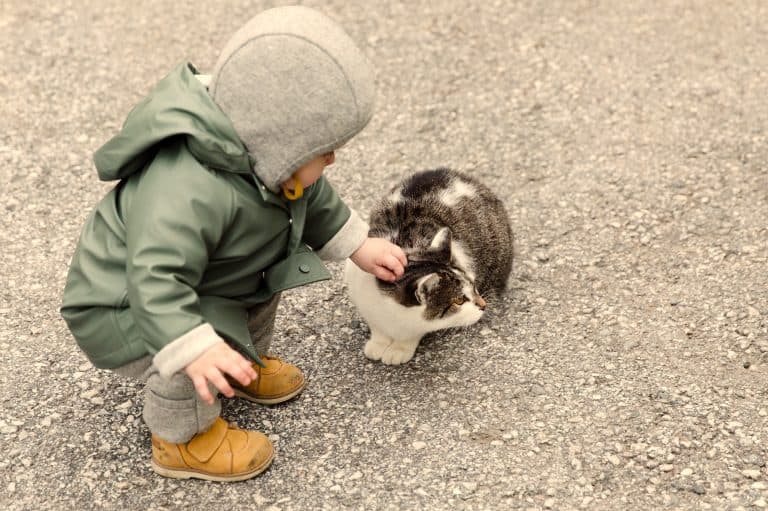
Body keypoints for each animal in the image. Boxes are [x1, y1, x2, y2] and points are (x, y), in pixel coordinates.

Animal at [344, 170, 512, 366]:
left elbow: (413, 333)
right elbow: (377, 327)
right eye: (459, 301)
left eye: (473, 286)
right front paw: (378, 343)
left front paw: (400, 349)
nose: (483, 305)